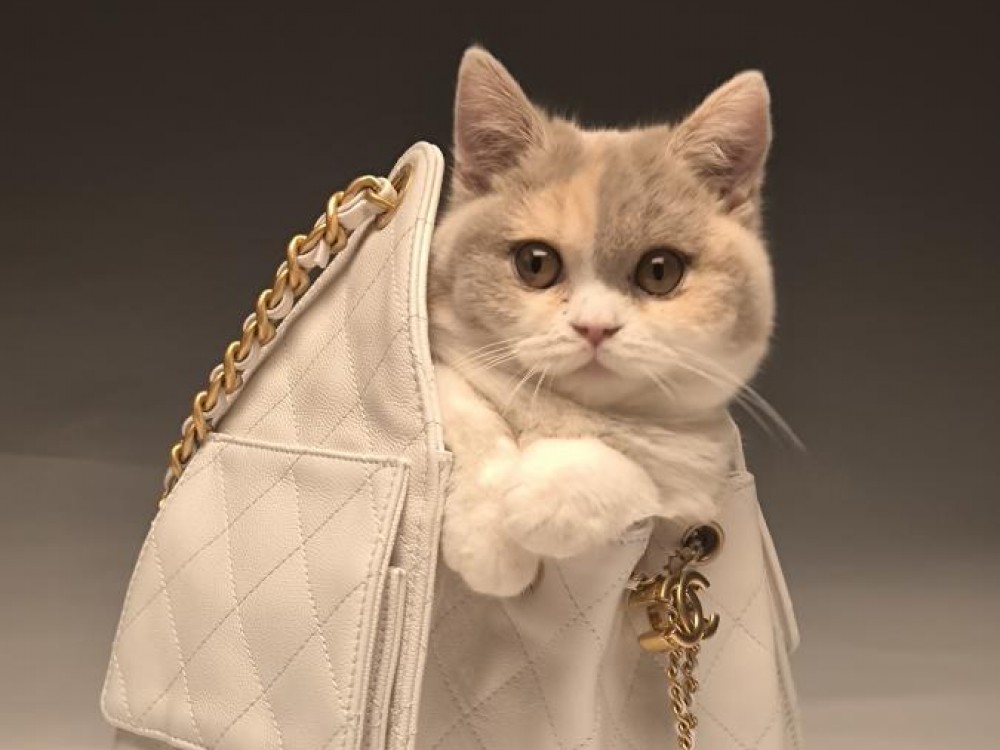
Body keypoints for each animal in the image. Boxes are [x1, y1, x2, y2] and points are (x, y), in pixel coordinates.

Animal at [428, 47, 775, 597]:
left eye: (660, 271)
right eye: (536, 263)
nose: (595, 327)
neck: (570, 415)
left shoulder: (699, 472)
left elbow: (649, 482)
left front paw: (553, 491)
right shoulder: (438, 371)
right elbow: (466, 408)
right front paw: (490, 537)